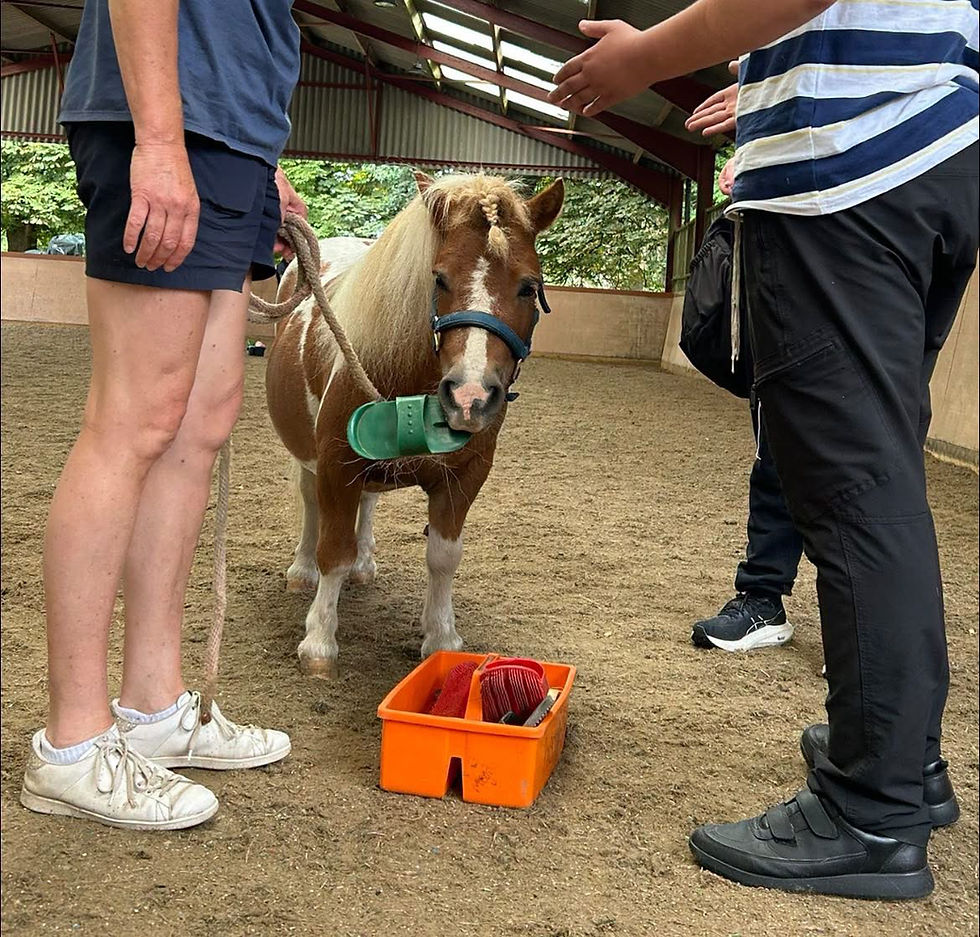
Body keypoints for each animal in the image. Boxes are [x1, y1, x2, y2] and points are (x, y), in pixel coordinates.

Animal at [265, 172, 564, 676]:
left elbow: (443, 557)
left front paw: (441, 637)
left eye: (529, 286)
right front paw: (319, 642)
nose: (469, 396)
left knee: (367, 505)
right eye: (439, 278)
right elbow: (334, 551)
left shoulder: (464, 476)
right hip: (309, 454)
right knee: (310, 505)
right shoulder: (337, 465)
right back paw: (302, 570)